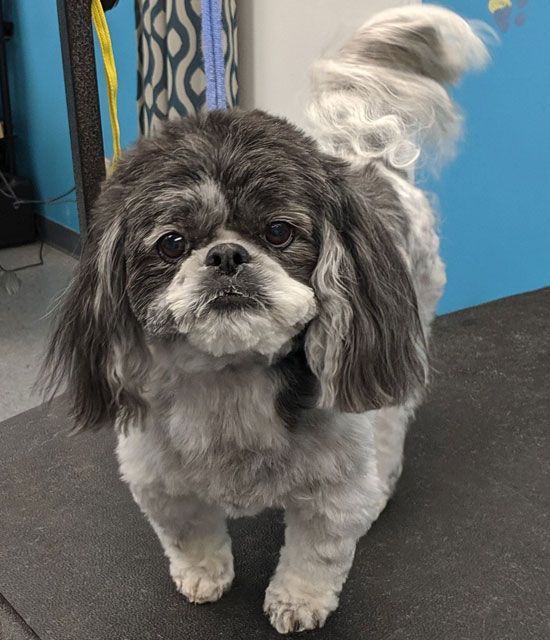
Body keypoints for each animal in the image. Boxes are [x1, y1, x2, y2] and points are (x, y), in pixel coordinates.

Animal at [44, 6, 492, 636]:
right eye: (171, 242)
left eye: (279, 231)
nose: (228, 256)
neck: (231, 380)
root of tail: (368, 158)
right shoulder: (158, 476)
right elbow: (189, 533)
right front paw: (203, 575)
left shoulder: (333, 490)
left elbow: (316, 555)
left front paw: (297, 602)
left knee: (391, 418)